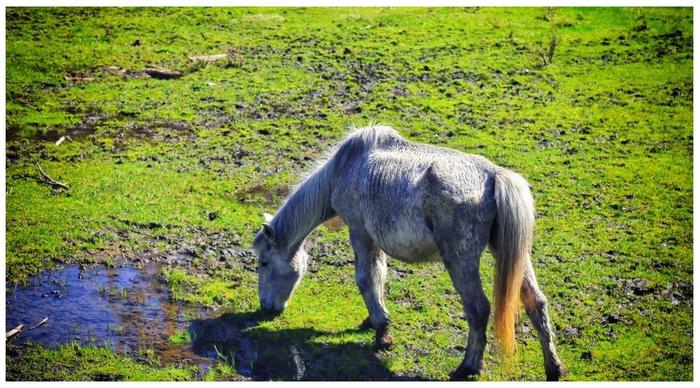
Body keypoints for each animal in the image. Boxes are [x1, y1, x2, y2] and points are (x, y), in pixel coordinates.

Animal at [252, 126, 564, 380]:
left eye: (264, 263)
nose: (266, 307)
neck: (345, 168)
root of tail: (494, 176)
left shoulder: (359, 233)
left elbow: (365, 279)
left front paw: (382, 332)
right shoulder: (374, 239)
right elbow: (378, 277)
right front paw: (373, 321)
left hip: (460, 262)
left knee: (478, 309)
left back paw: (468, 367)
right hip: (513, 258)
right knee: (536, 303)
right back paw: (554, 368)